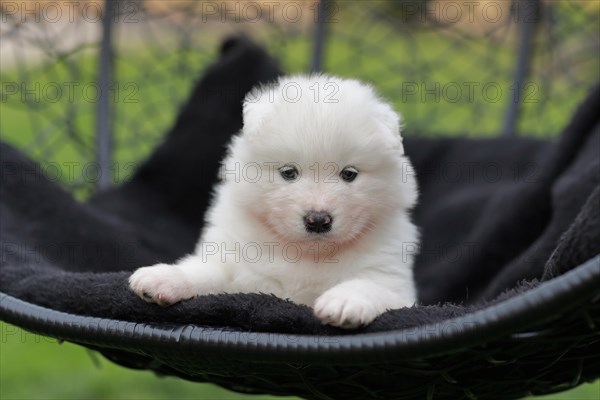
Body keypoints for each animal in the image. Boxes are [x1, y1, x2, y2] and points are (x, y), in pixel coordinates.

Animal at [129, 75, 420, 328]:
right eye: (289, 172)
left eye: (349, 174)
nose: (318, 220)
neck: (308, 254)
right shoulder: (234, 264)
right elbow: (206, 271)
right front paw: (163, 277)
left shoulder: (394, 283)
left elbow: (369, 286)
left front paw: (344, 301)